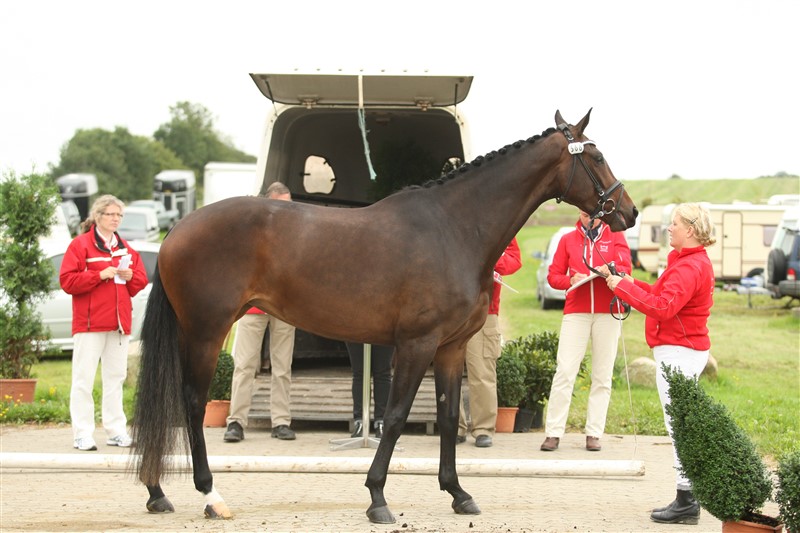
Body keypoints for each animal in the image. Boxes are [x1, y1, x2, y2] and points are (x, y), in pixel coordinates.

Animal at [134, 109, 640, 524]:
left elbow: (448, 418)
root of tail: (178, 229)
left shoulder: (451, 348)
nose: (629, 212)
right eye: (596, 157)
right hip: (205, 332)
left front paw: (458, 493)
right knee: (191, 403)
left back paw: (157, 492)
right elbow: (394, 417)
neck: (455, 228)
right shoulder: (416, 344)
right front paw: (377, 498)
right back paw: (210, 496)